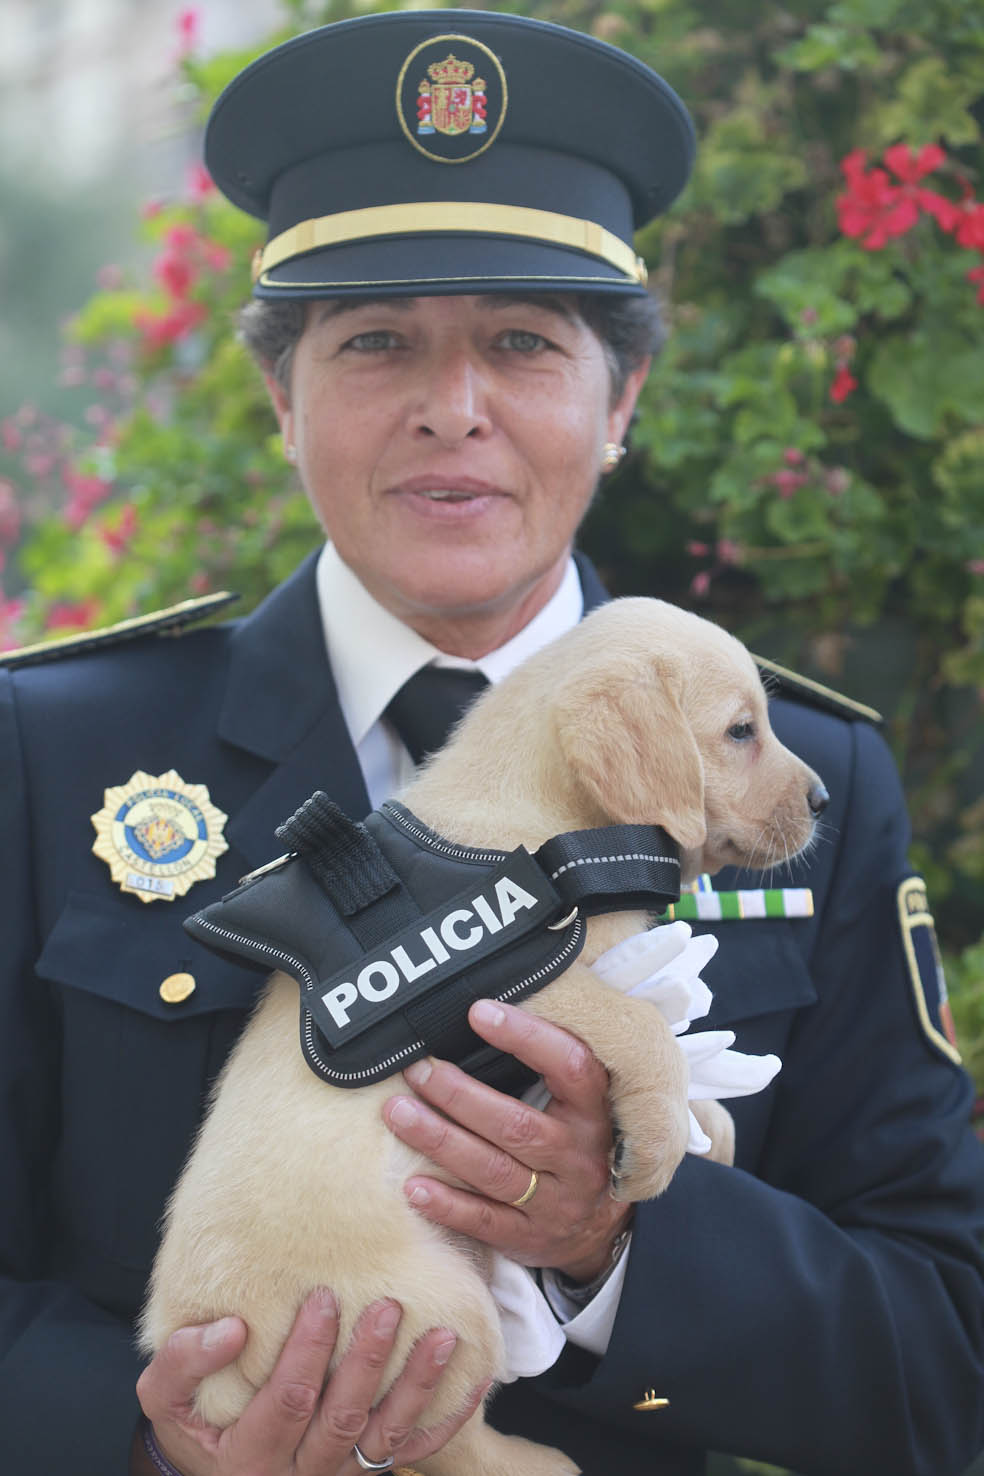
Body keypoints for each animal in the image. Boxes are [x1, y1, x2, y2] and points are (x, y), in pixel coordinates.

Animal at [142, 596, 826, 1476]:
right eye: (741, 730)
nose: (824, 800)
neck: (556, 834)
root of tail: (208, 1371)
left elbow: (689, 1068)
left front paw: (706, 1134)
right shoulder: (529, 985)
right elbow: (648, 1032)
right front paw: (658, 1148)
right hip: (441, 1312)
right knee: (439, 1441)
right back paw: (537, 1462)